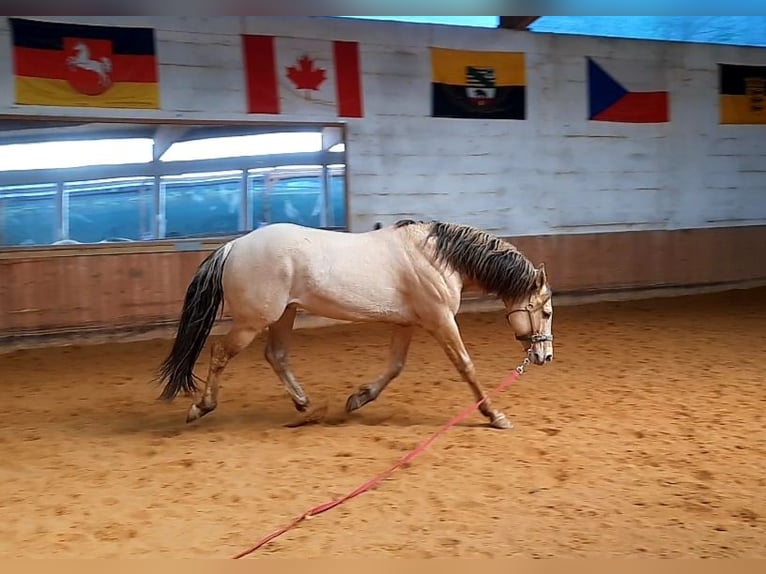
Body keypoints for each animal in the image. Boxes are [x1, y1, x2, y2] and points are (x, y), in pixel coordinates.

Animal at [155, 219, 554, 430]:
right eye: (547, 312)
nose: (544, 356)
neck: (437, 258)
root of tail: (233, 247)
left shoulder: (407, 324)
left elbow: (395, 366)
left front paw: (358, 399)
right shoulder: (440, 320)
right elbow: (466, 366)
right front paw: (495, 415)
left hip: (284, 315)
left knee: (276, 356)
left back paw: (306, 406)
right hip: (255, 320)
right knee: (221, 353)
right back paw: (201, 407)